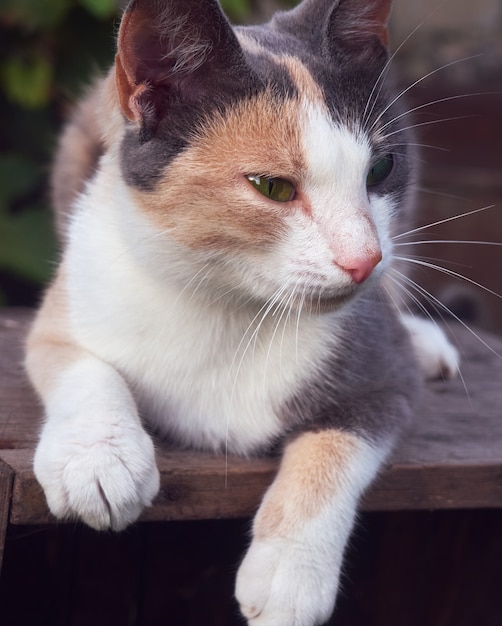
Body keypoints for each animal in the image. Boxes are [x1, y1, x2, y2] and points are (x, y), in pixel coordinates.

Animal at [26, 0, 458, 620]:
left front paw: (291, 574)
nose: (363, 260)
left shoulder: (382, 370)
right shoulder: (77, 289)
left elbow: (342, 439)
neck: (232, 304)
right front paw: (99, 460)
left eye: (381, 169)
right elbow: (72, 358)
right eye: (271, 187)